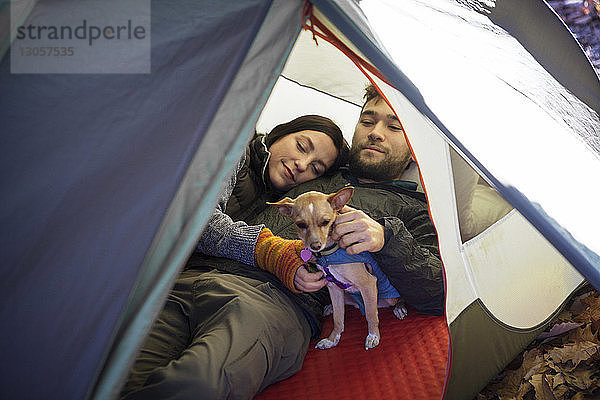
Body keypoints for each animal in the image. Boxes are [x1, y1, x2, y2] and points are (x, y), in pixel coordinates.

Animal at [268, 186, 406, 348]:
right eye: (301, 224)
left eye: (326, 222)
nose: (315, 246)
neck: (328, 253)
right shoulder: (334, 288)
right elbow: (338, 319)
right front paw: (332, 339)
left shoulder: (368, 284)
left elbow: (371, 316)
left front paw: (373, 336)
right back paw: (330, 308)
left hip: (387, 297)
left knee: (395, 300)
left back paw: (400, 307)